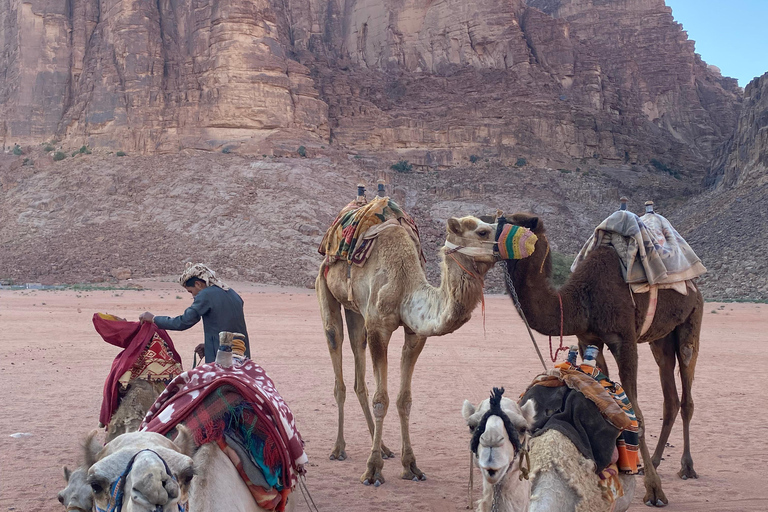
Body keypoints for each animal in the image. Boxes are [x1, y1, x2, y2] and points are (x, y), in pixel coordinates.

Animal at [316, 215, 498, 484]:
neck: (404, 284)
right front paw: (373, 471)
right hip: (325, 286)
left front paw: (411, 466)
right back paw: (339, 449)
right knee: (335, 348)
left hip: (355, 311)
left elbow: (404, 400)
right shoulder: (378, 329)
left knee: (358, 363)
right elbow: (381, 400)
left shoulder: (415, 334)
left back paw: (383, 447)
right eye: (483, 232)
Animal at [498, 213, 704, 508]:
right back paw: (653, 460)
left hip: (692, 318)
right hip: (661, 338)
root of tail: (694, 285)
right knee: (670, 396)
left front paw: (654, 491)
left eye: (515, 225)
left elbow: (637, 413)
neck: (582, 299)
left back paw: (687, 467)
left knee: (686, 390)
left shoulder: (624, 339)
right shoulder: (589, 338)